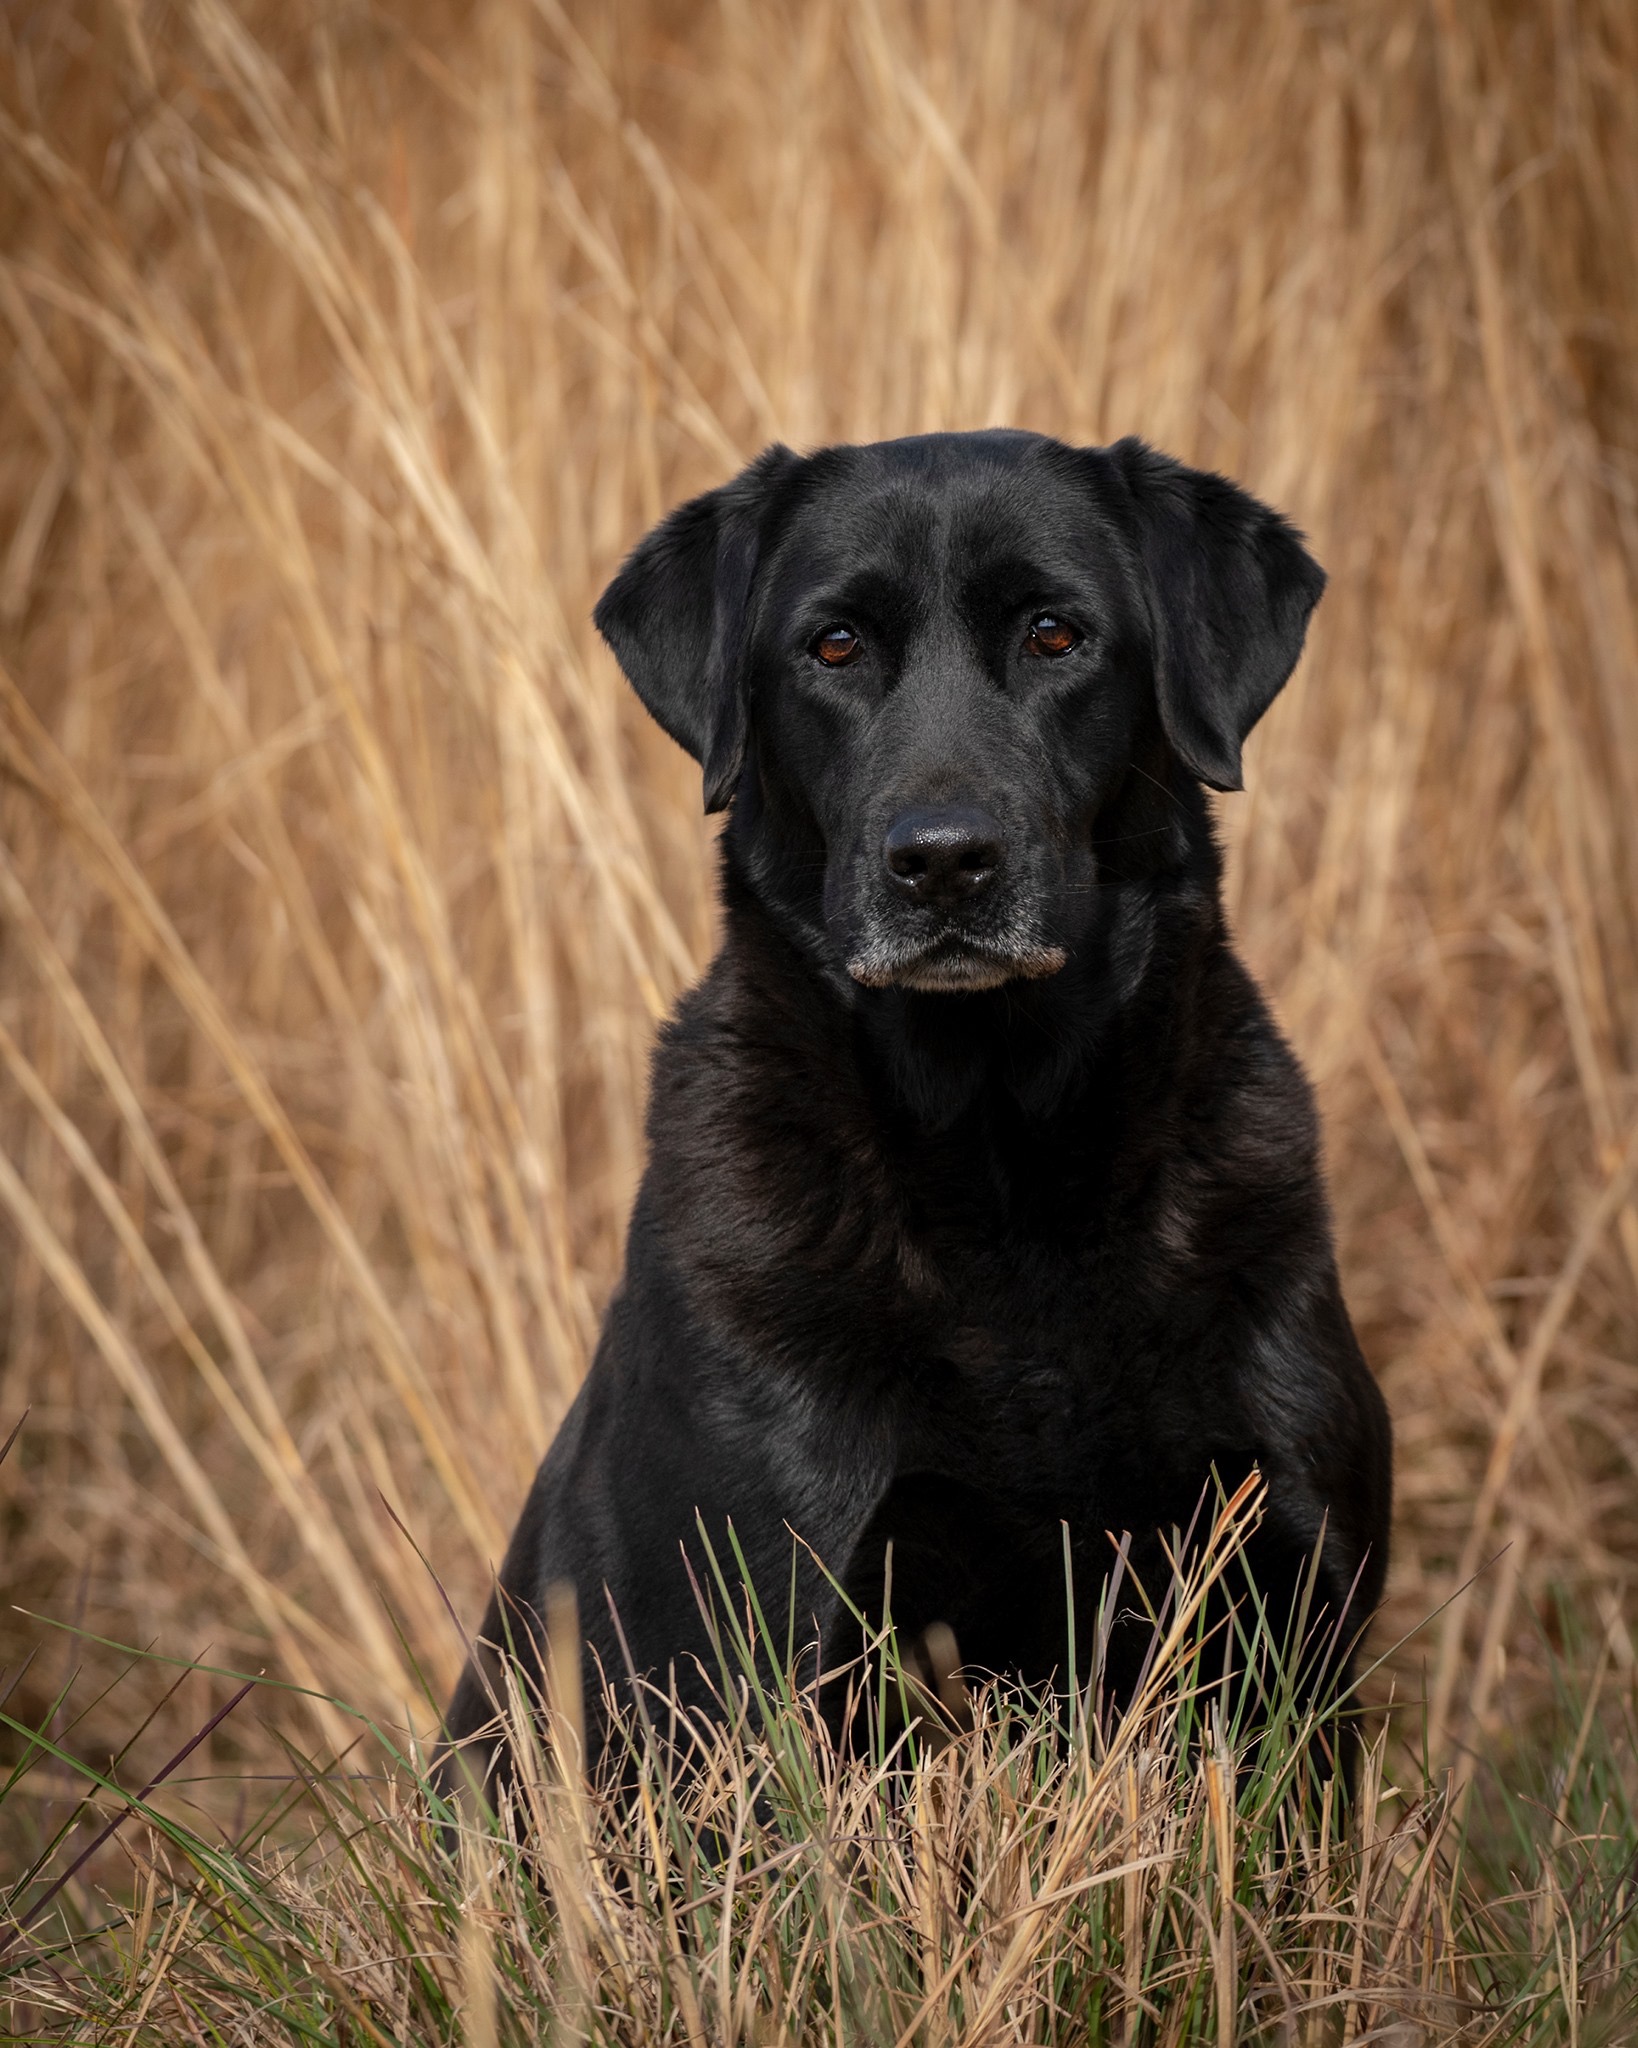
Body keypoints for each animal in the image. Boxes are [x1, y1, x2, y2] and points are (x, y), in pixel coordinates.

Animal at [444, 432, 1392, 1794]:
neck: (1002, 1162)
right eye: (834, 645)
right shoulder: (759, 1647)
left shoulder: (1292, 1616)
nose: (943, 860)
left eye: (1055, 633)